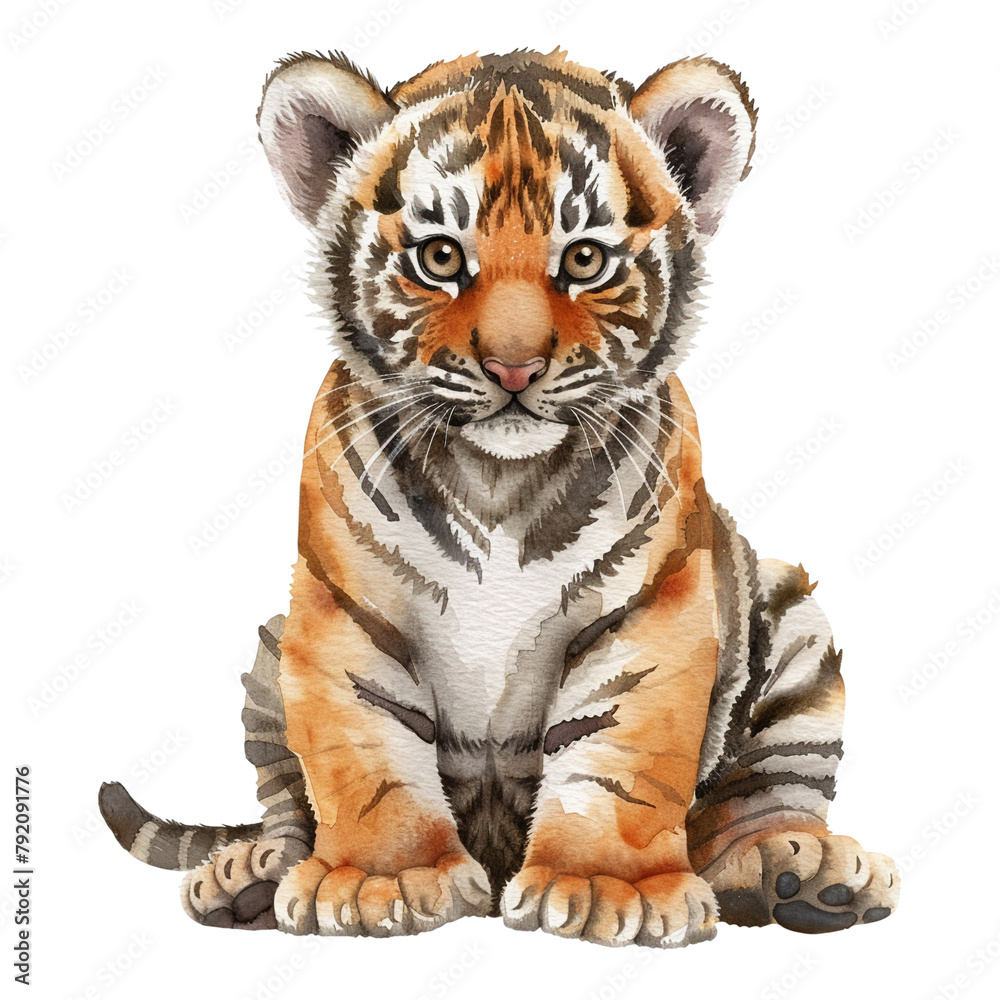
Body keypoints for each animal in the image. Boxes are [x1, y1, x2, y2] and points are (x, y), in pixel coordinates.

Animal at [98, 48, 899, 947]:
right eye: (441, 258)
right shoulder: (344, 614)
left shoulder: (652, 610)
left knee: (756, 808)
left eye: (584, 261)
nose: (514, 368)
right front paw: (383, 881)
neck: (497, 478)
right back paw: (248, 876)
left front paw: (607, 889)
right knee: (283, 804)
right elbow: (364, 756)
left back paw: (803, 873)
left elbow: (621, 758)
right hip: (273, 654)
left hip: (792, 623)